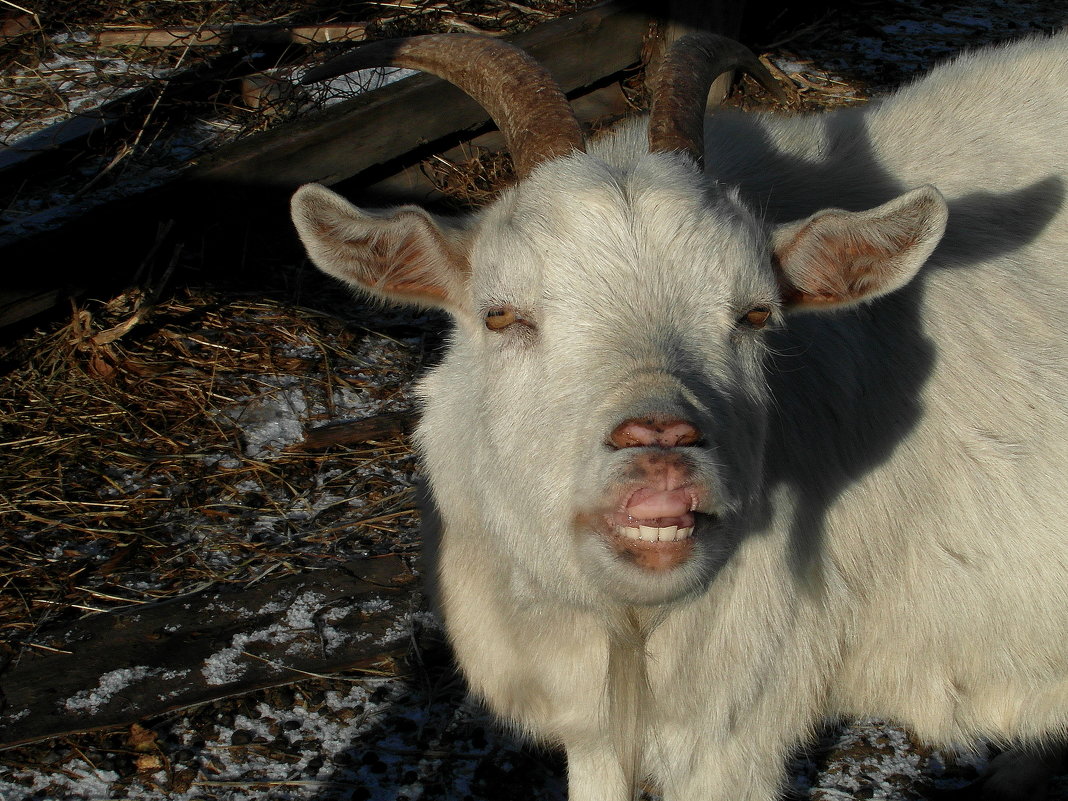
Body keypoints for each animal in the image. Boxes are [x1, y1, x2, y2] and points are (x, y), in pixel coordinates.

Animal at [290, 31, 1068, 801]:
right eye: (501, 314)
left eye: (755, 314)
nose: (661, 447)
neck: (632, 624)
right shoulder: (595, 726)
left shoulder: (736, 723)